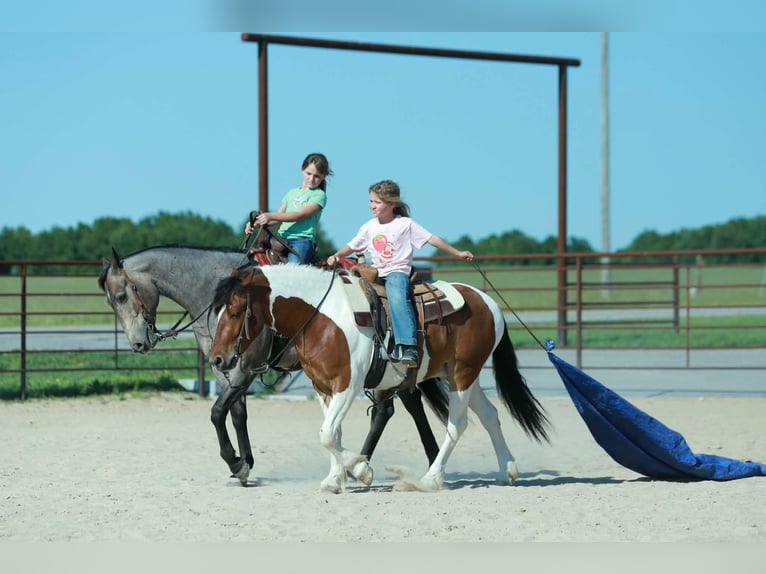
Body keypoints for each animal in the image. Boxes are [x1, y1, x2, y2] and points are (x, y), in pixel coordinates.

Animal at [98, 245, 448, 485]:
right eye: (112, 301)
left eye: (122, 295)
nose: (139, 344)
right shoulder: (223, 368)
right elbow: (236, 413)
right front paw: (244, 463)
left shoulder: (244, 367)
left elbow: (217, 412)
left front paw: (235, 463)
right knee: (408, 406)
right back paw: (426, 459)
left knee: (387, 410)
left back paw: (363, 467)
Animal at [209, 263, 552, 493]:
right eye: (218, 311)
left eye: (236, 311)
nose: (217, 358)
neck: (322, 317)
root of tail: (487, 301)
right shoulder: (323, 387)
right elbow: (333, 432)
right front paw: (335, 478)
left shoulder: (348, 384)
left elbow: (327, 434)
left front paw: (360, 470)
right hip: (460, 374)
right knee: (490, 414)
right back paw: (507, 469)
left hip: (463, 373)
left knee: (458, 423)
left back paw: (431, 478)